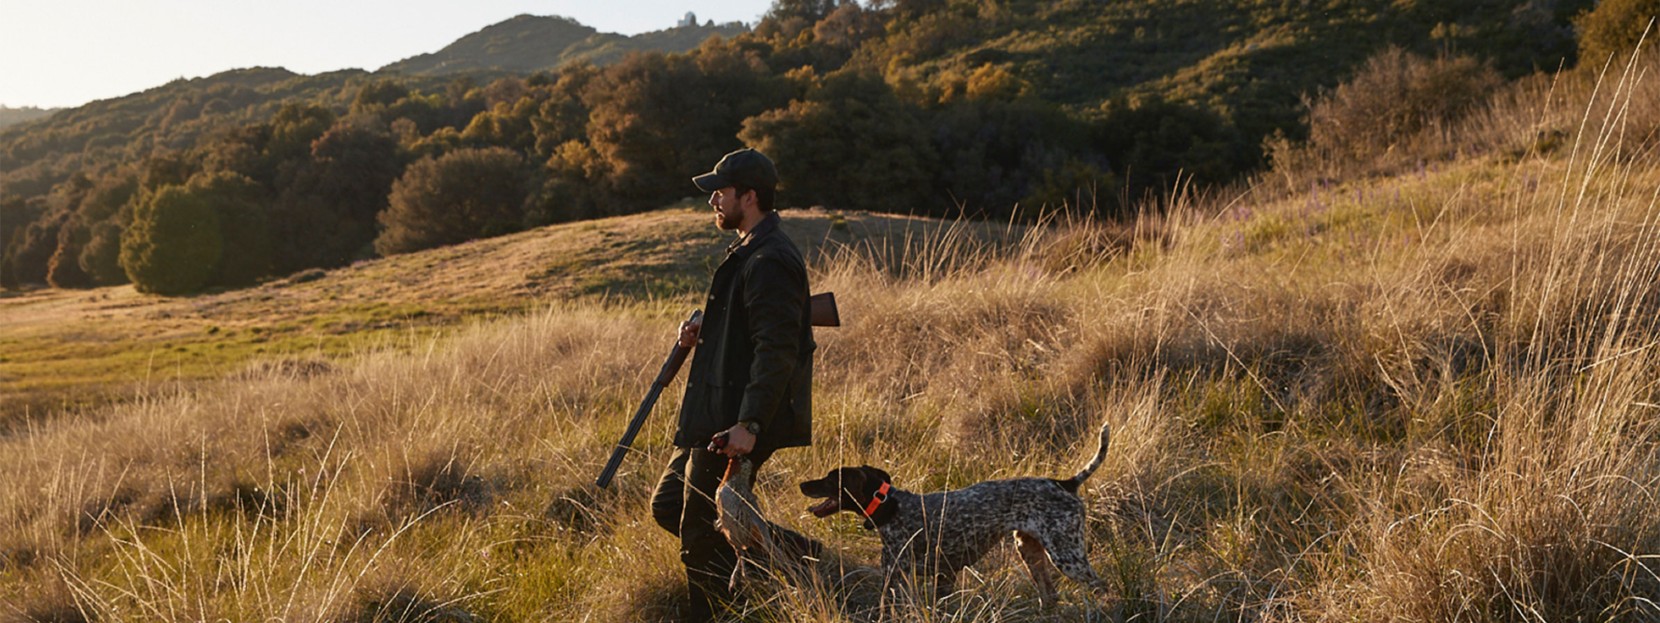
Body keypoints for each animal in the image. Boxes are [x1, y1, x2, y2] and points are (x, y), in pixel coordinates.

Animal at [793, 421, 1108, 608]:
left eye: (830, 479)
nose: (801, 484)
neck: (891, 508)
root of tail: (1065, 483)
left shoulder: (897, 578)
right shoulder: (943, 577)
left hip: (1067, 556)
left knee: (1100, 586)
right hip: (1029, 550)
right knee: (1050, 595)